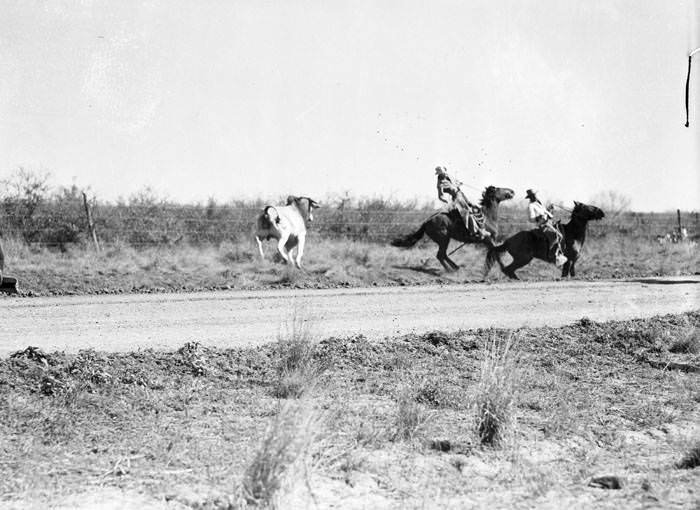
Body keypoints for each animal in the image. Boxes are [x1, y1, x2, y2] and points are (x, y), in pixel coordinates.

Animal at [388, 184, 516, 270]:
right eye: (498, 188)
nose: (512, 191)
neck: (487, 217)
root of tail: (426, 222)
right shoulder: (488, 240)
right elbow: (496, 254)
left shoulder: (489, 241)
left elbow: (493, 255)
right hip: (443, 239)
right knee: (440, 255)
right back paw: (451, 270)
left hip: (444, 240)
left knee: (443, 255)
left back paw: (456, 267)